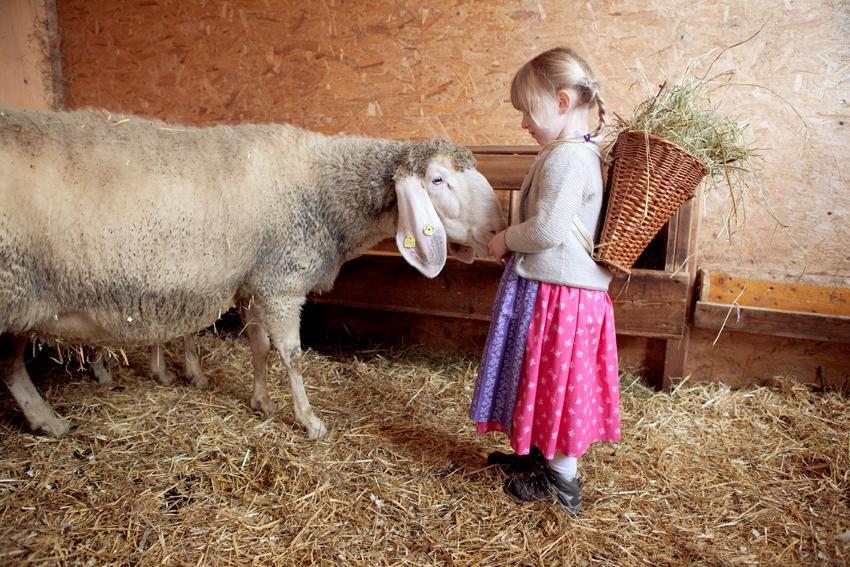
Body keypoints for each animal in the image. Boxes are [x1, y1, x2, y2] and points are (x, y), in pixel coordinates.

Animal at [0, 110, 504, 440]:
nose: (498, 228)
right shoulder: (281, 281)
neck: (322, 193)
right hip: (14, 286)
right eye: (437, 181)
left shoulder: (255, 281)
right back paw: (48, 418)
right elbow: (292, 355)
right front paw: (308, 420)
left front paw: (262, 402)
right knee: (11, 367)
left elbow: (259, 347)